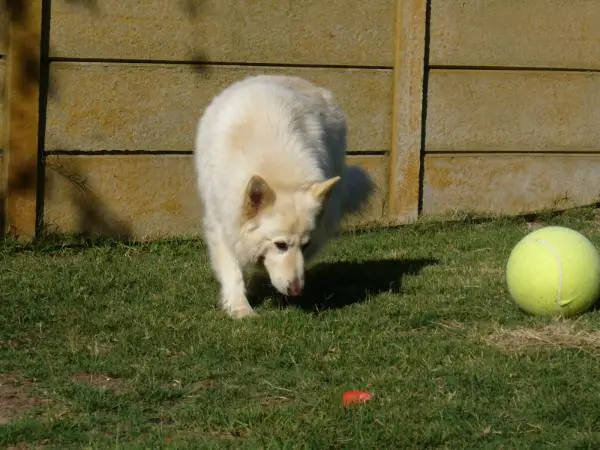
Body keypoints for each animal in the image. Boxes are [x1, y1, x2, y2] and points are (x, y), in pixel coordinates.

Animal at [195, 74, 370, 318]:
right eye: (280, 245)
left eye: (304, 245)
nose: (296, 291)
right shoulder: (222, 220)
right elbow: (232, 269)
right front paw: (239, 307)